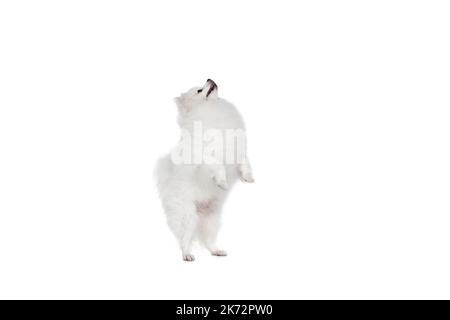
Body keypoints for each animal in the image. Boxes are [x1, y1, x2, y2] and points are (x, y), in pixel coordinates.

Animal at [155, 79, 253, 262]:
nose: (209, 79)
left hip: (212, 219)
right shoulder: (206, 157)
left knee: (208, 239)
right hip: (188, 216)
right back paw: (187, 255)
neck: (211, 110)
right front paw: (222, 182)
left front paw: (248, 177)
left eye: (203, 85)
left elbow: (244, 163)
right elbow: (218, 165)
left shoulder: (237, 150)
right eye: (199, 90)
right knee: (184, 238)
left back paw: (216, 251)